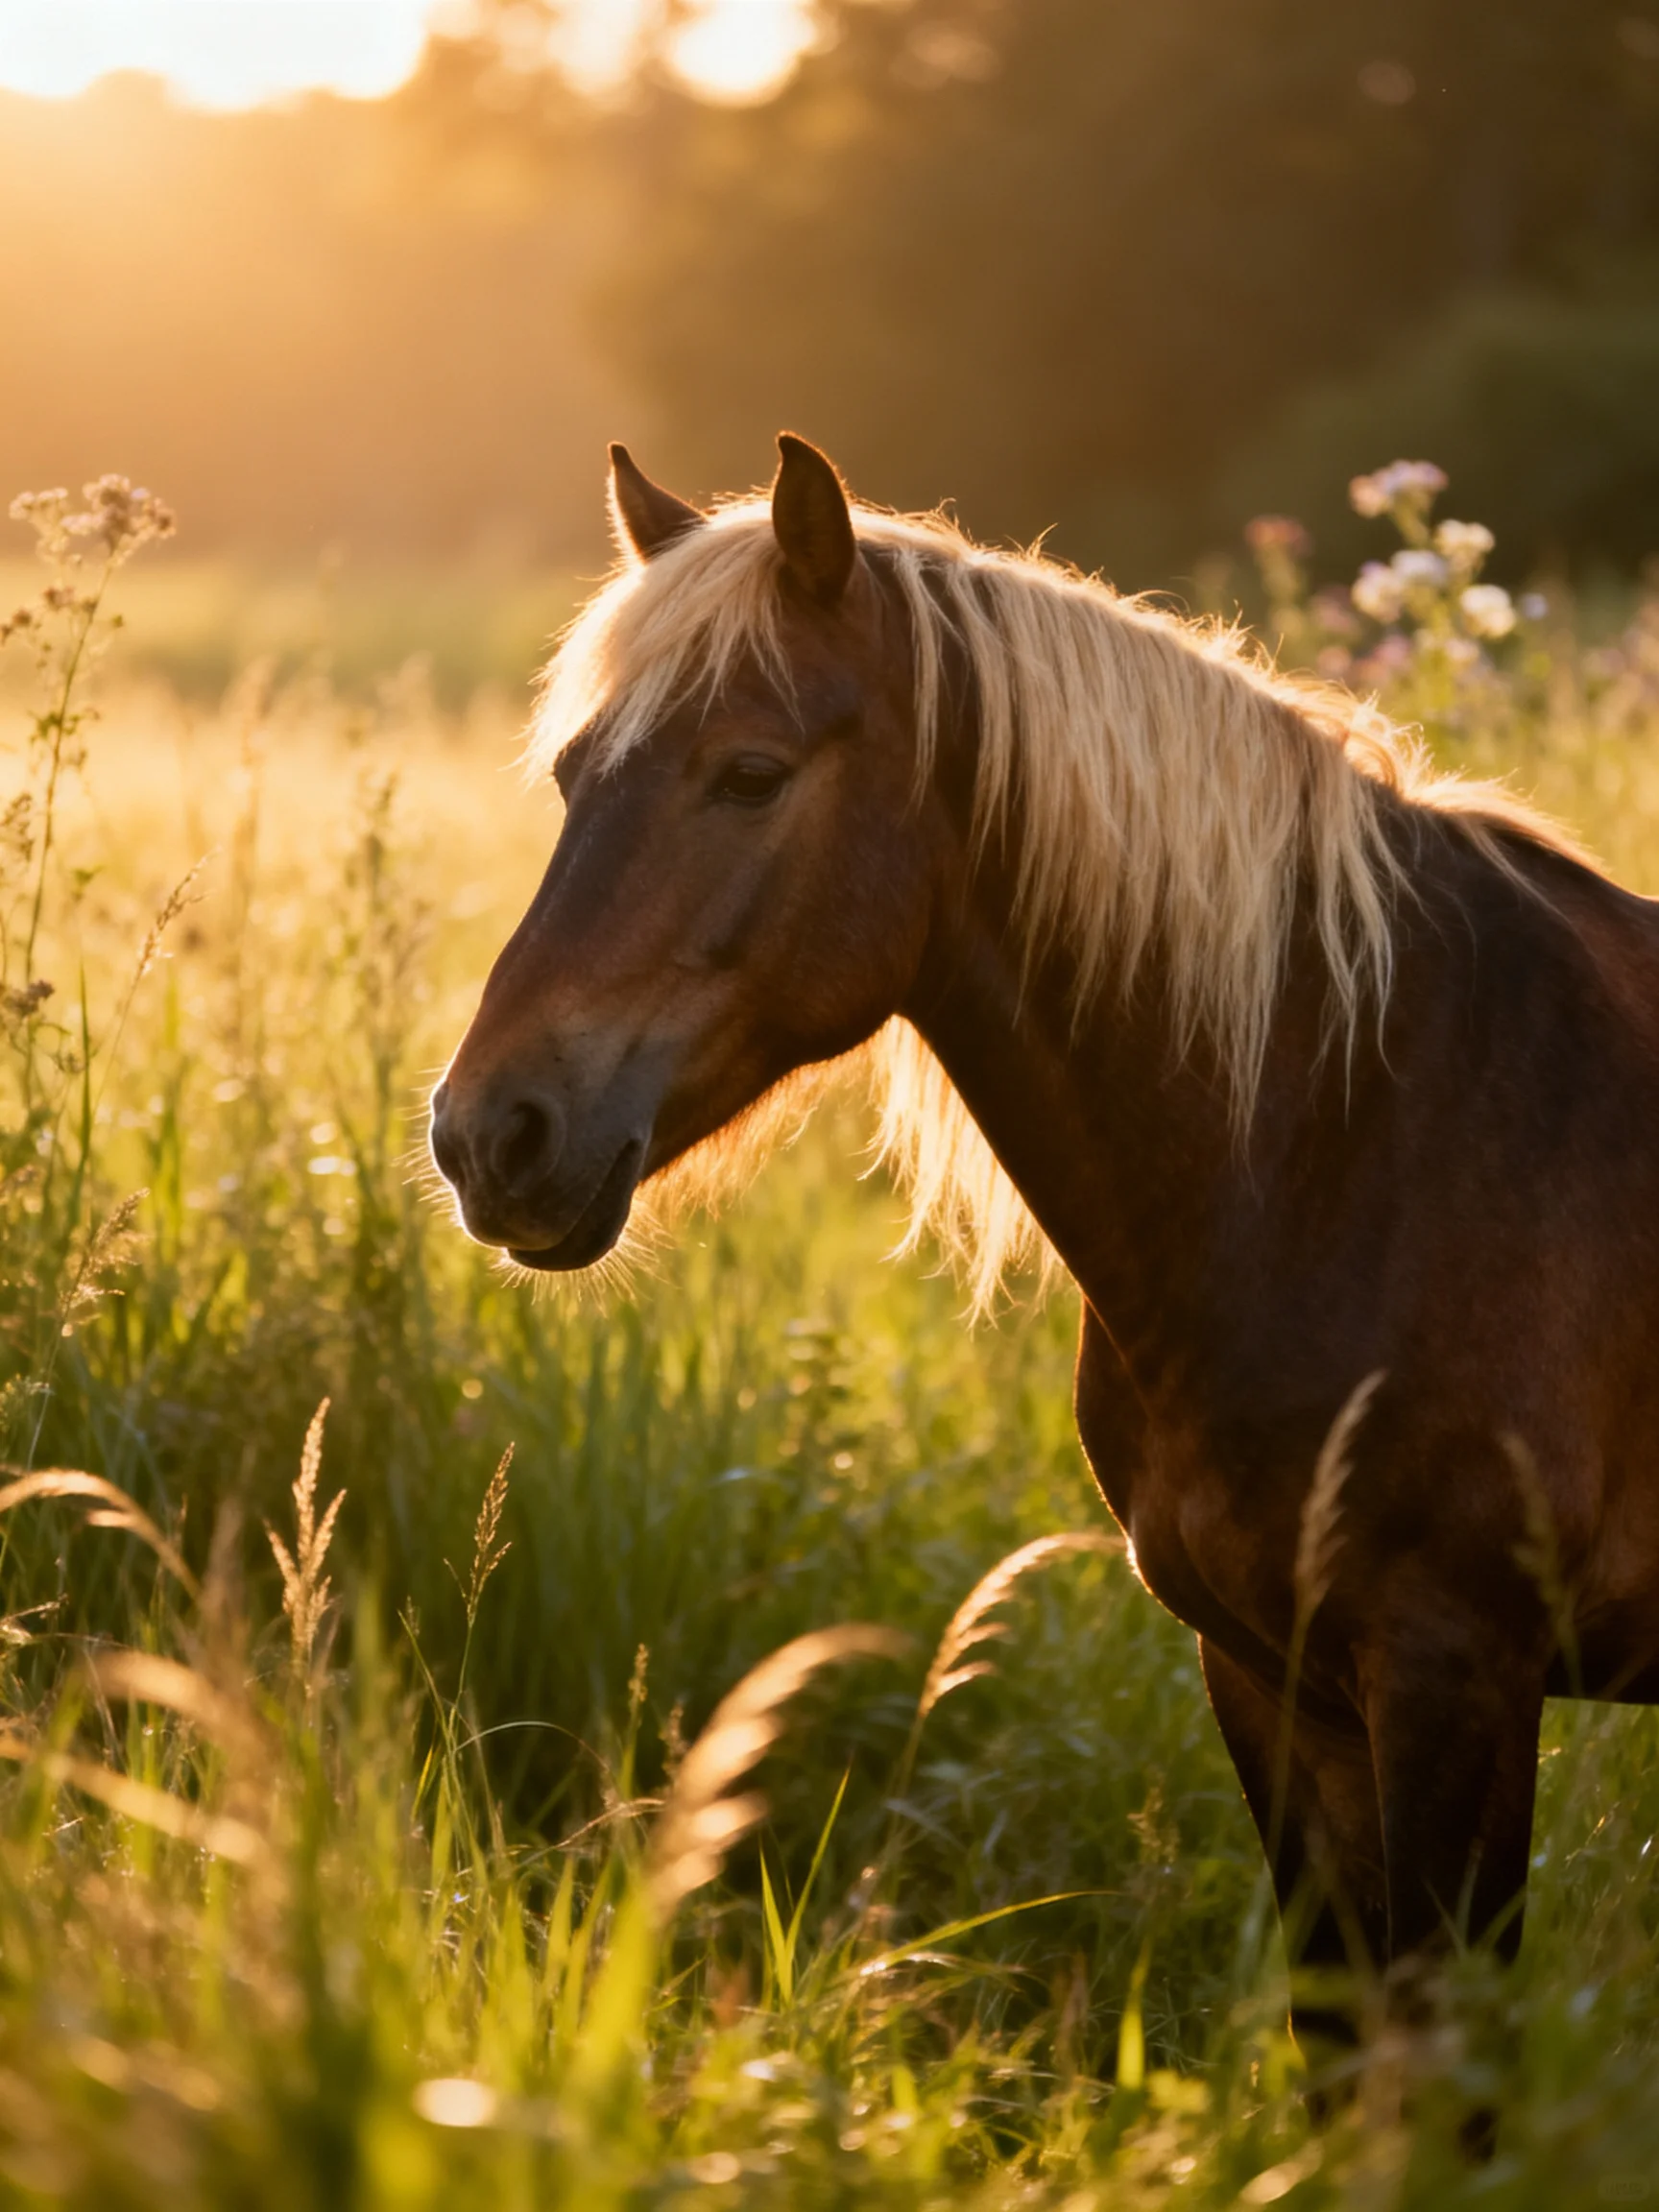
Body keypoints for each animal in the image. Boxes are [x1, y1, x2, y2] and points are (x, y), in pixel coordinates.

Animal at [430, 432, 1659, 2070]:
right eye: (574, 777)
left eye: (750, 775)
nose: (486, 1136)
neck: (1366, 1137)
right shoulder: (1273, 1679)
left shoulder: (1455, 1674)